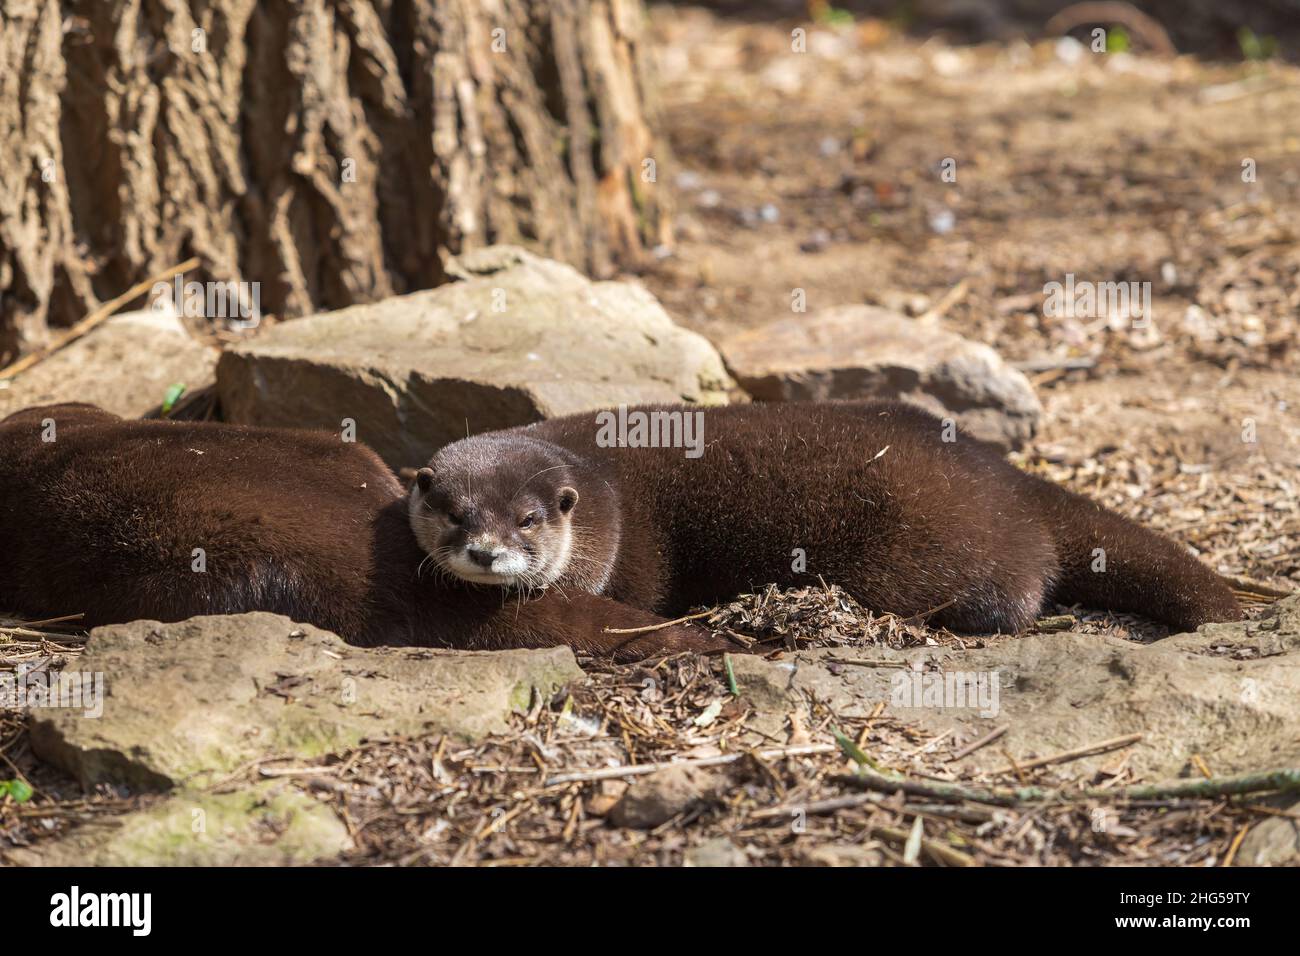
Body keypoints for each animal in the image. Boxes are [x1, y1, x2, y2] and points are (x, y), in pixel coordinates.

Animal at [410, 400, 1242, 639]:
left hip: (926, 550)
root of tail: (1008, 481)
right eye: (454, 514)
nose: (487, 552)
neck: (604, 492)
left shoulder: (631, 556)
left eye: (526, 520)